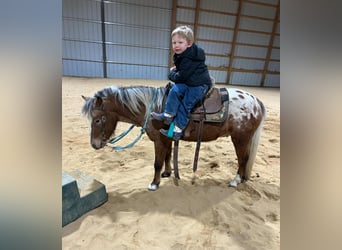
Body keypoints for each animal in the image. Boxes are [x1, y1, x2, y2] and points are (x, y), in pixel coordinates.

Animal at [81, 84, 266, 191]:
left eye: (97, 119)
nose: (94, 144)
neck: (152, 108)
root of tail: (256, 101)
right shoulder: (166, 139)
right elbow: (168, 156)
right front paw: (167, 173)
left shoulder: (158, 140)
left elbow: (157, 163)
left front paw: (154, 183)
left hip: (240, 139)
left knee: (243, 159)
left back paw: (235, 180)